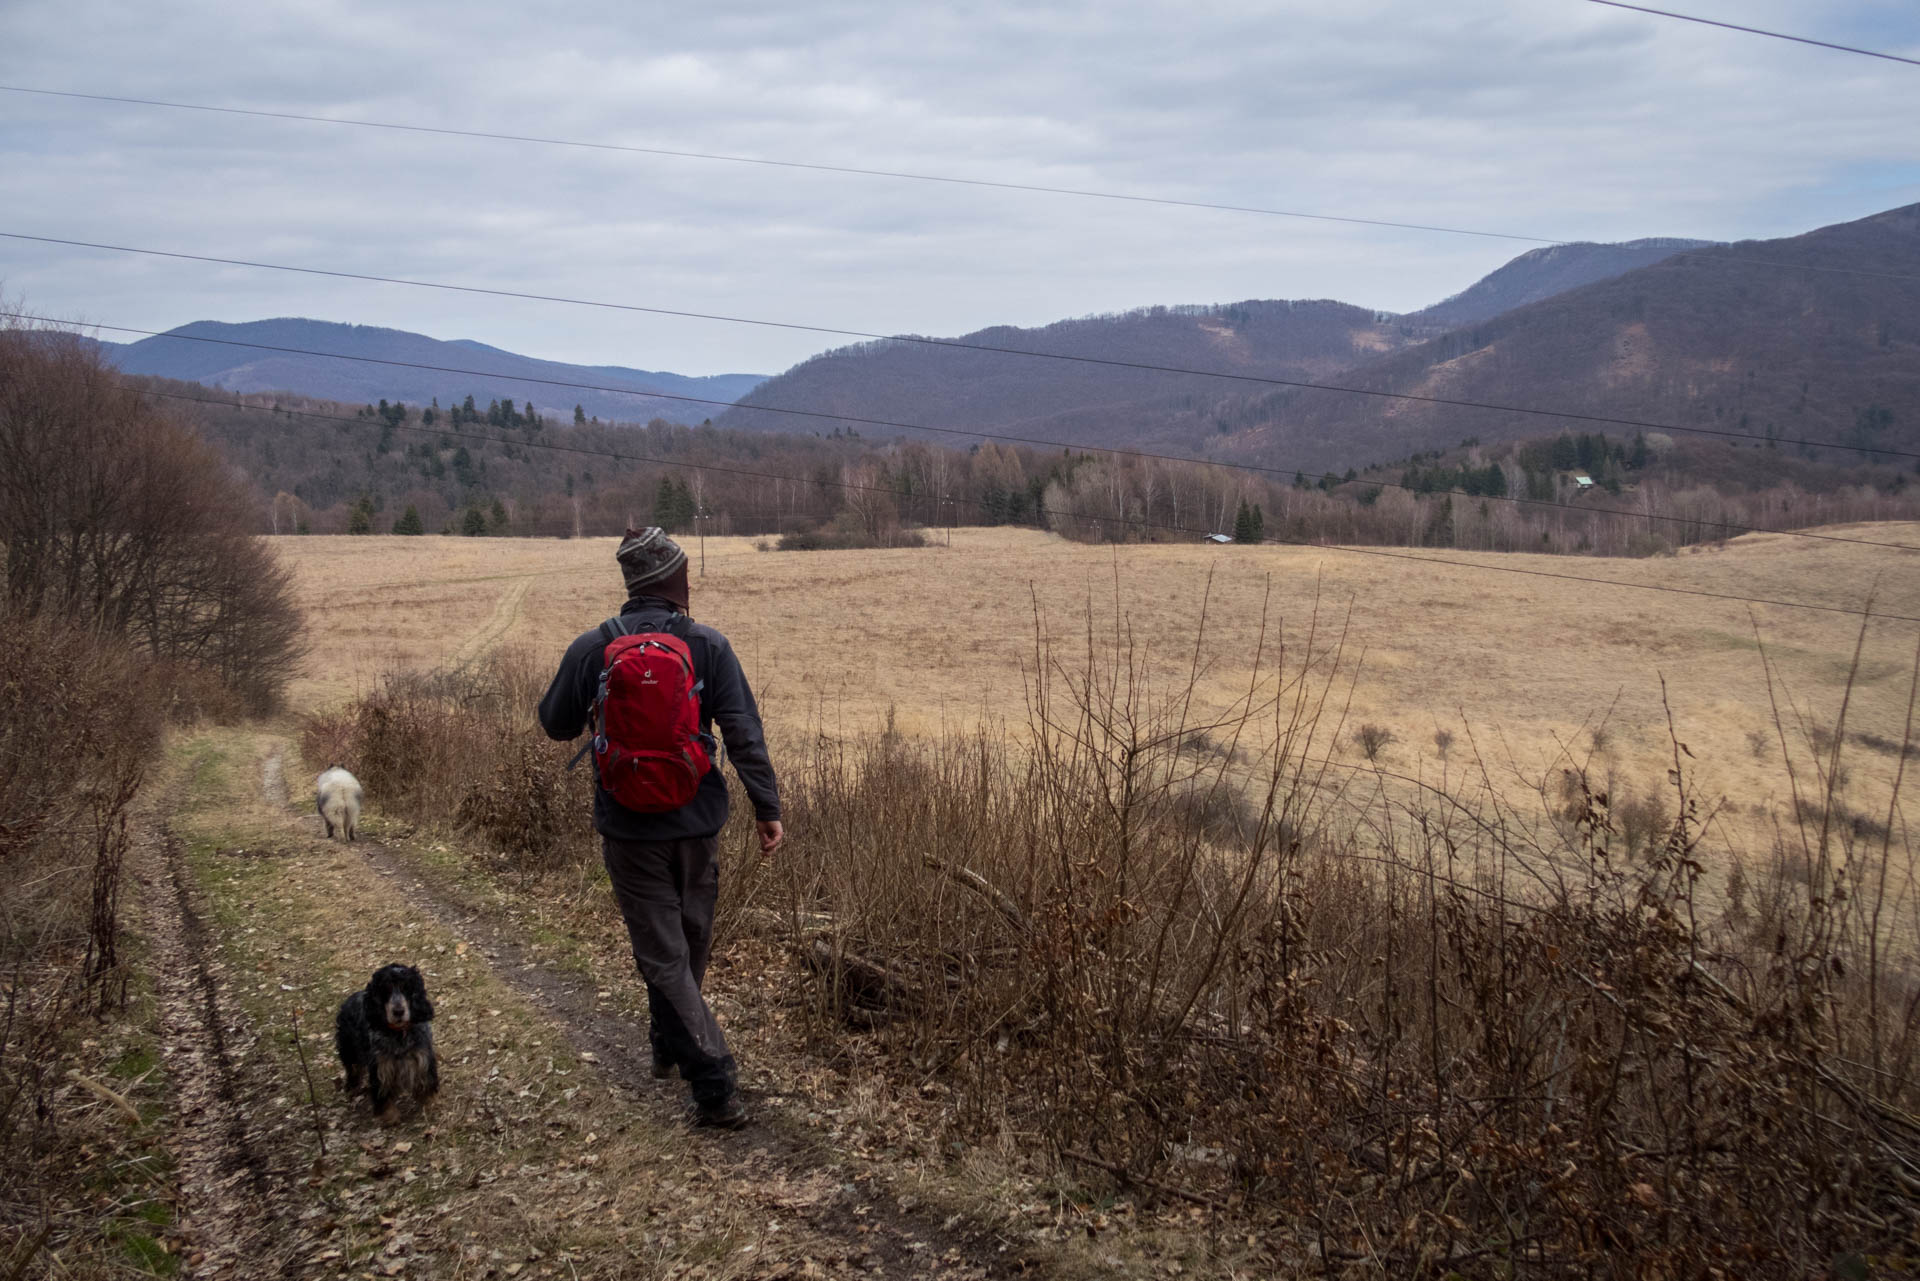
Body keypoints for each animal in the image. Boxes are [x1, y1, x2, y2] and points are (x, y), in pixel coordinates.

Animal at [339, 960, 443, 1121]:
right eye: (385, 989)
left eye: (407, 988)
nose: (398, 1012)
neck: (399, 1033)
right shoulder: (381, 1066)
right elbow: (383, 1092)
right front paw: (389, 1116)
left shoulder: (422, 1057)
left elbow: (426, 1081)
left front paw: (429, 1103)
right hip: (348, 1048)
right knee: (353, 1069)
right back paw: (351, 1088)